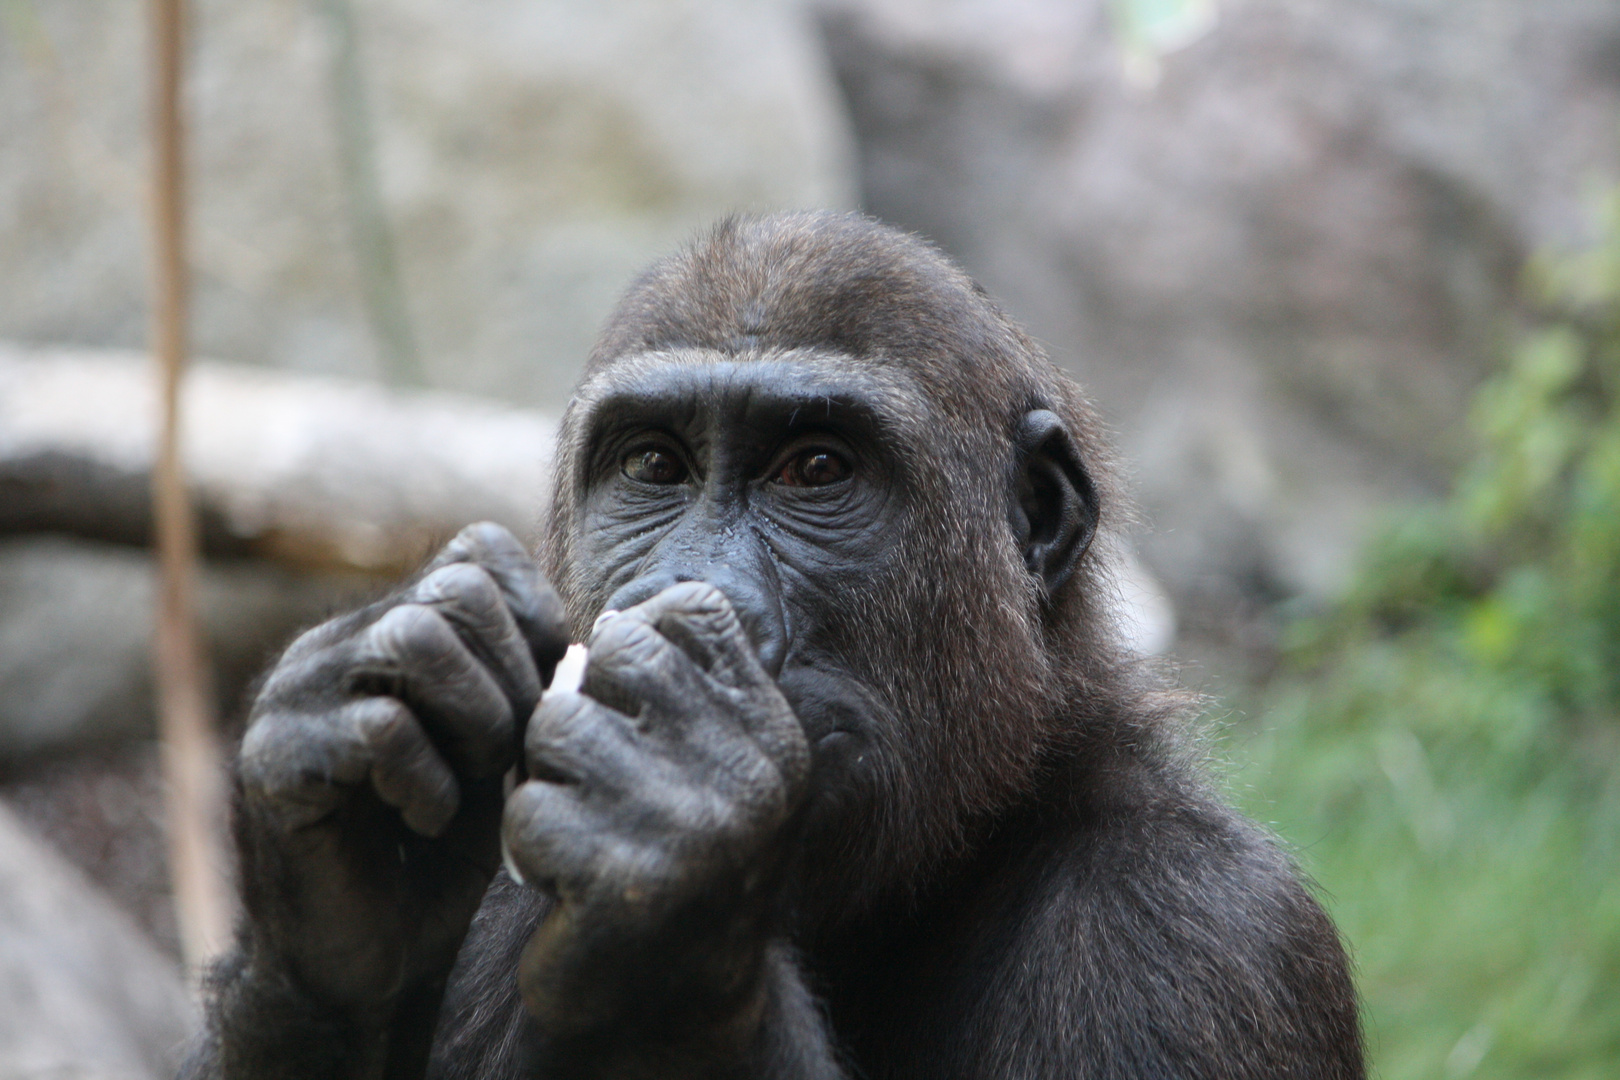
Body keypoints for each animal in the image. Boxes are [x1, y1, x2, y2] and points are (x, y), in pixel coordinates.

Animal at [183, 210, 1360, 1080]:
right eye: (653, 465)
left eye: (816, 470)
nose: (685, 592)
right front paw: (341, 872)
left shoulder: (1201, 933)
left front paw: (665, 894)